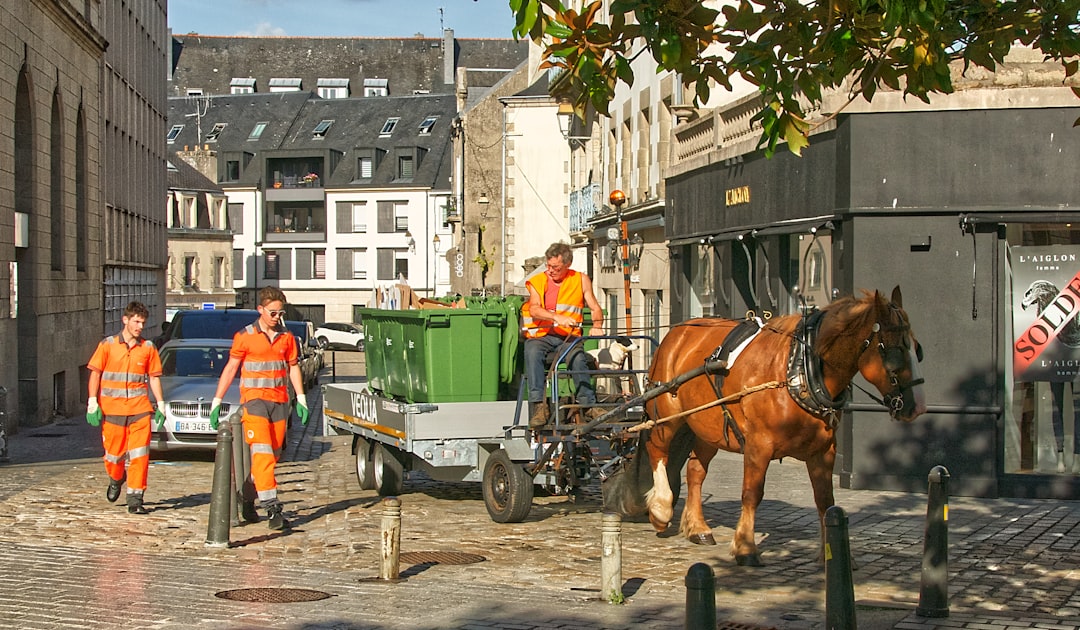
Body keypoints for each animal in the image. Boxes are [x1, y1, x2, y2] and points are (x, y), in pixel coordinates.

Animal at [604, 285, 924, 566]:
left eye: (916, 347)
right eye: (893, 351)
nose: (916, 407)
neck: (798, 369)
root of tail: (676, 333)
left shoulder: (823, 451)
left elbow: (826, 500)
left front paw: (832, 554)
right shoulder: (759, 446)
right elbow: (752, 494)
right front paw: (745, 547)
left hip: (708, 426)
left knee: (695, 471)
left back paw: (698, 527)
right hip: (667, 417)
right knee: (657, 451)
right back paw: (660, 509)